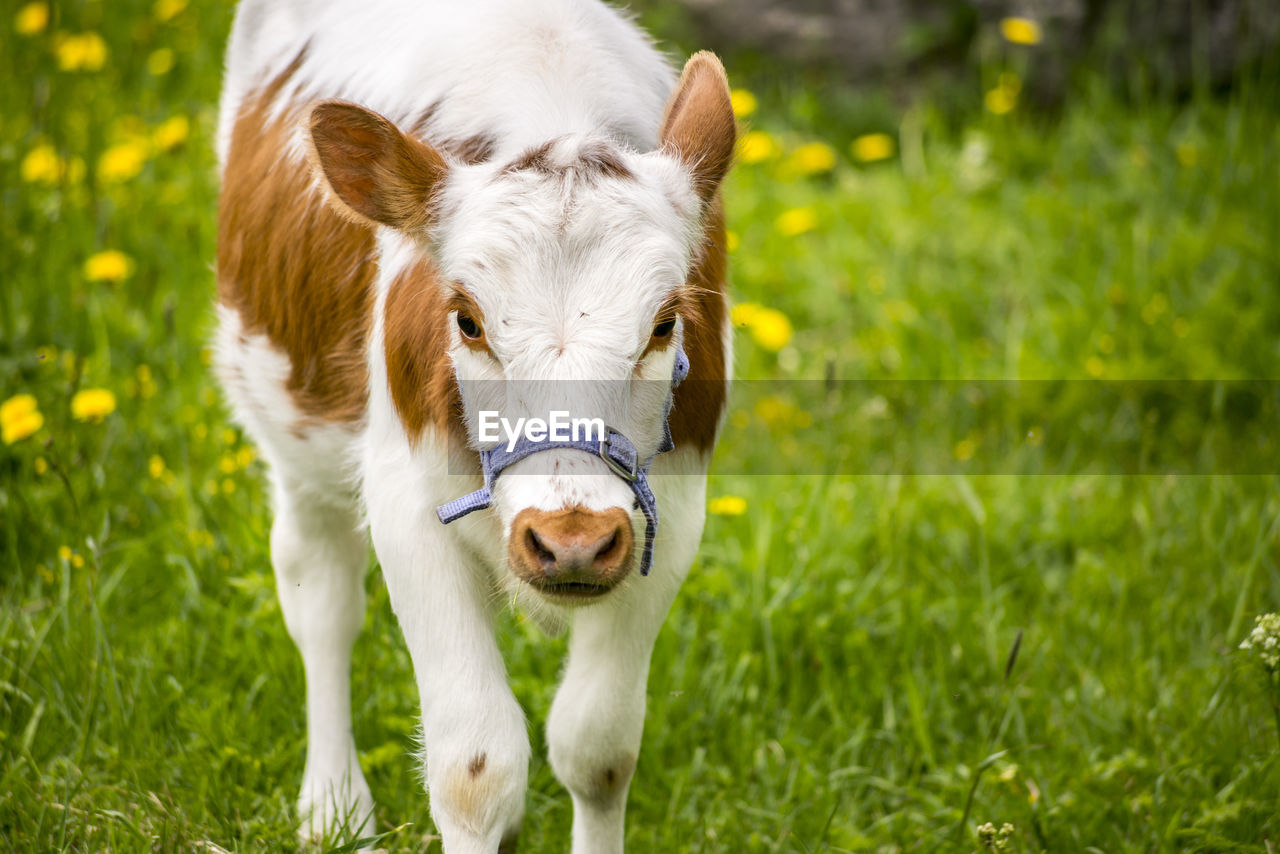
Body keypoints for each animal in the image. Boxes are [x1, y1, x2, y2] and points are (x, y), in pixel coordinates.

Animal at [215, 1, 737, 854]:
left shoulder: (669, 510)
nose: (570, 540)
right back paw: (332, 804)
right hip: (286, 427)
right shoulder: (406, 506)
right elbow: (474, 769)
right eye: (466, 319)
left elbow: (598, 750)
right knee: (320, 596)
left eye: (664, 324)